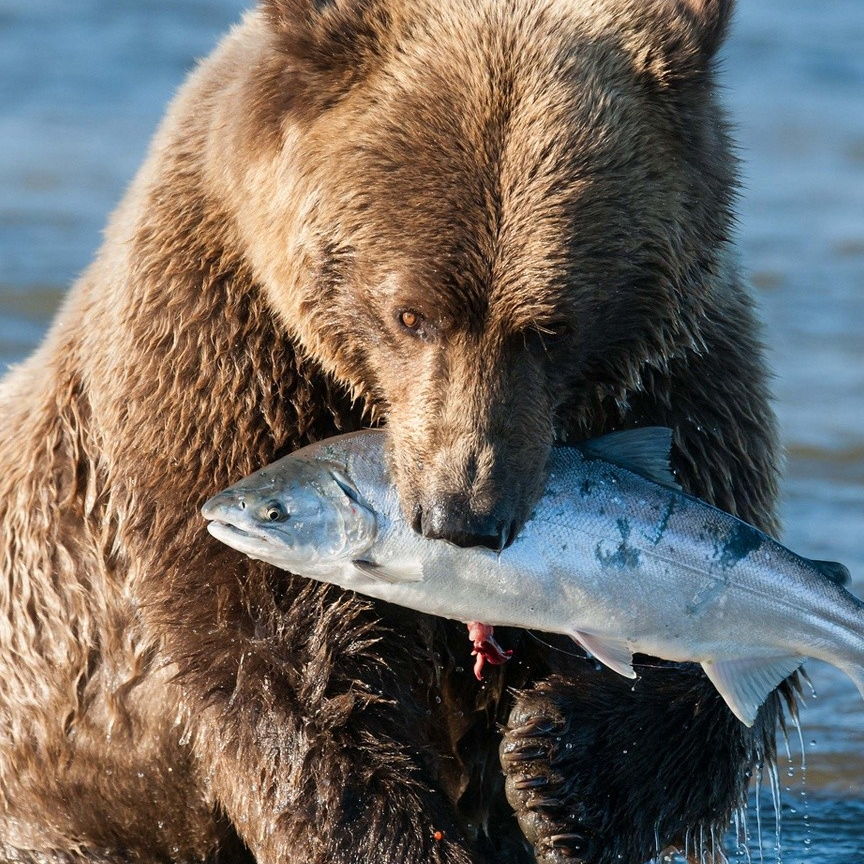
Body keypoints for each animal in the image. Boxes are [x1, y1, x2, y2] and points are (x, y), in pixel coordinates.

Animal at [0, 1, 788, 864]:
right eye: (411, 314)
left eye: (552, 328)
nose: (462, 514)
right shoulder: (223, 371)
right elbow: (294, 668)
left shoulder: (683, 383)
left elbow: (718, 654)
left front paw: (559, 769)